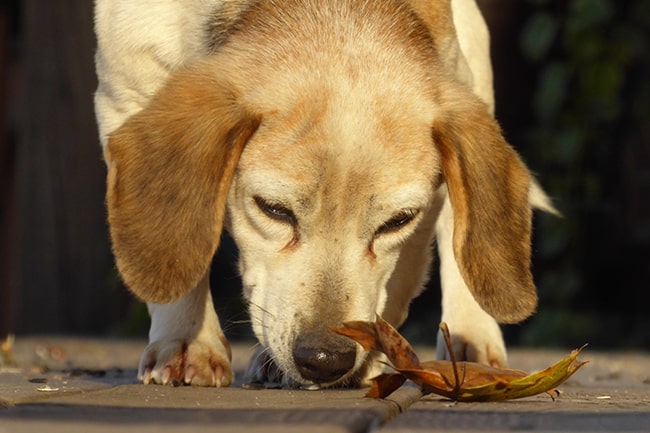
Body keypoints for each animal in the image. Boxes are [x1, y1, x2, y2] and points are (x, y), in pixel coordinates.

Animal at [93, 0, 556, 384]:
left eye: (397, 221)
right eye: (273, 209)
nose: (325, 359)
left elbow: (403, 275)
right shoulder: (126, 93)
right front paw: (188, 343)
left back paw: (470, 339)